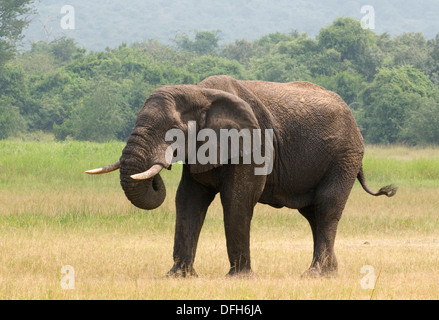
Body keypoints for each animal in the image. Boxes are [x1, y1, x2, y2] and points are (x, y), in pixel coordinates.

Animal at [85, 75, 396, 278]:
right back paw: (330, 272)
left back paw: (315, 274)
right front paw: (177, 277)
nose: (158, 172)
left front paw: (240, 277)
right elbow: (187, 200)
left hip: (344, 156)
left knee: (327, 207)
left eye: (172, 132)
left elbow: (237, 199)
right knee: (313, 214)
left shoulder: (251, 143)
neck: (199, 93)